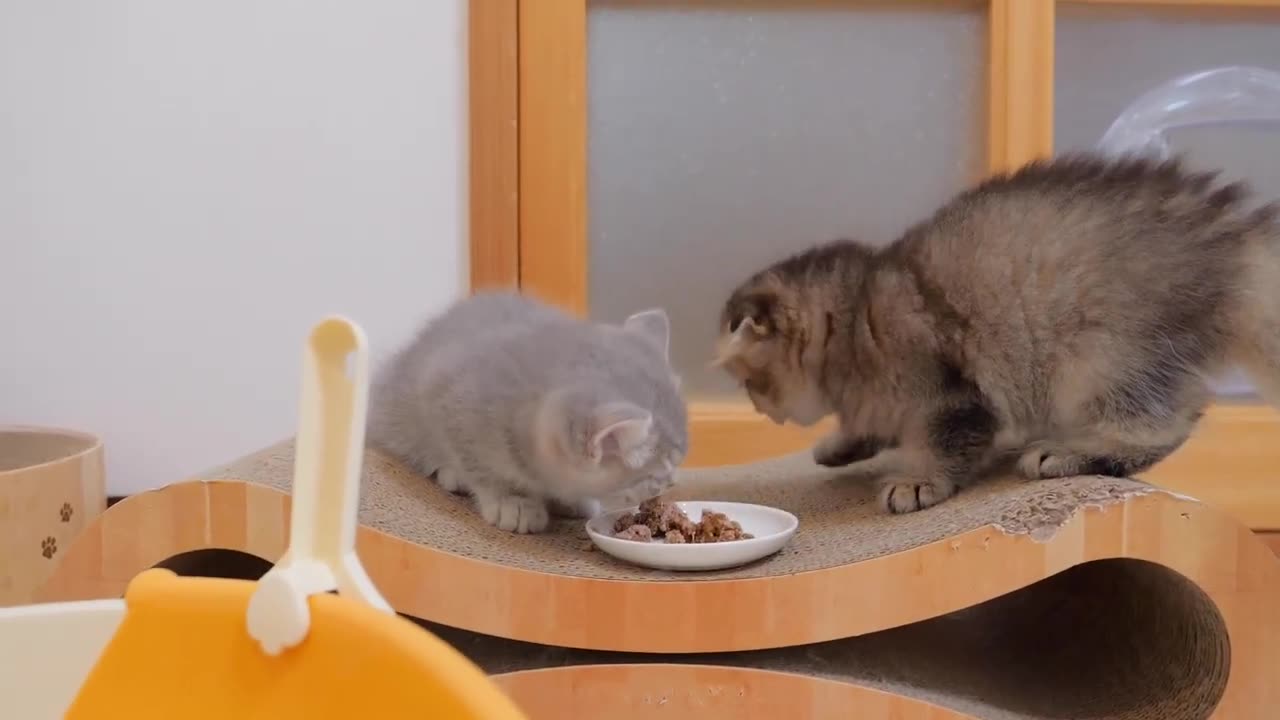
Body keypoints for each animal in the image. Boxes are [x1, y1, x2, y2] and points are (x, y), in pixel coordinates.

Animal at [368, 288, 691, 530]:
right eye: (659, 472)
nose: (674, 479)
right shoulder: (448, 396)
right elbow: (480, 465)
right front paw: (512, 501)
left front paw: (569, 499)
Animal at [716, 152, 1274, 509]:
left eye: (750, 383)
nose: (757, 408)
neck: (855, 319)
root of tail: (1235, 244)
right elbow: (870, 425)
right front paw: (842, 444)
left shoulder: (953, 398)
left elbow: (945, 444)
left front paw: (917, 481)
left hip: (1100, 356)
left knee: (1165, 424)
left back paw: (1069, 452)